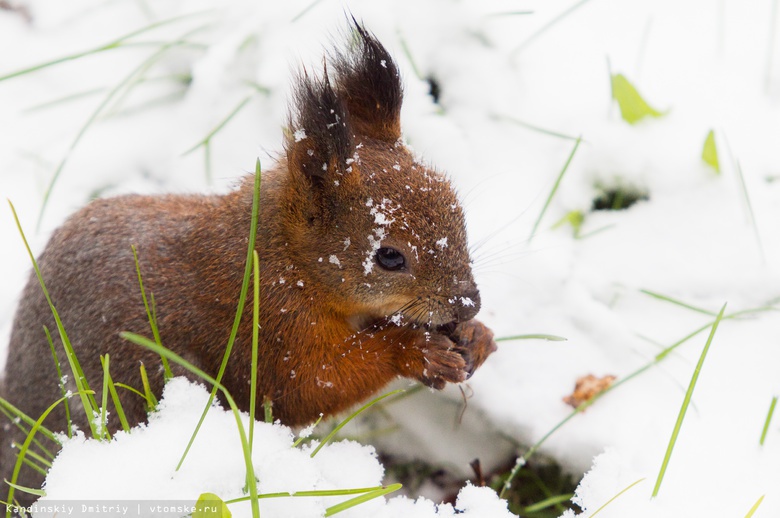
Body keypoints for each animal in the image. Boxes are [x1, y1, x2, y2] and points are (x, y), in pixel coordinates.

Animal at [0, 22, 496, 502]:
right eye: (389, 256)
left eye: (457, 210)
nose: (469, 302)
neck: (288, 260)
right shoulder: (269, 323)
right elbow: (309, 385)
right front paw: (414, 350)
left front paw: (477, 337)